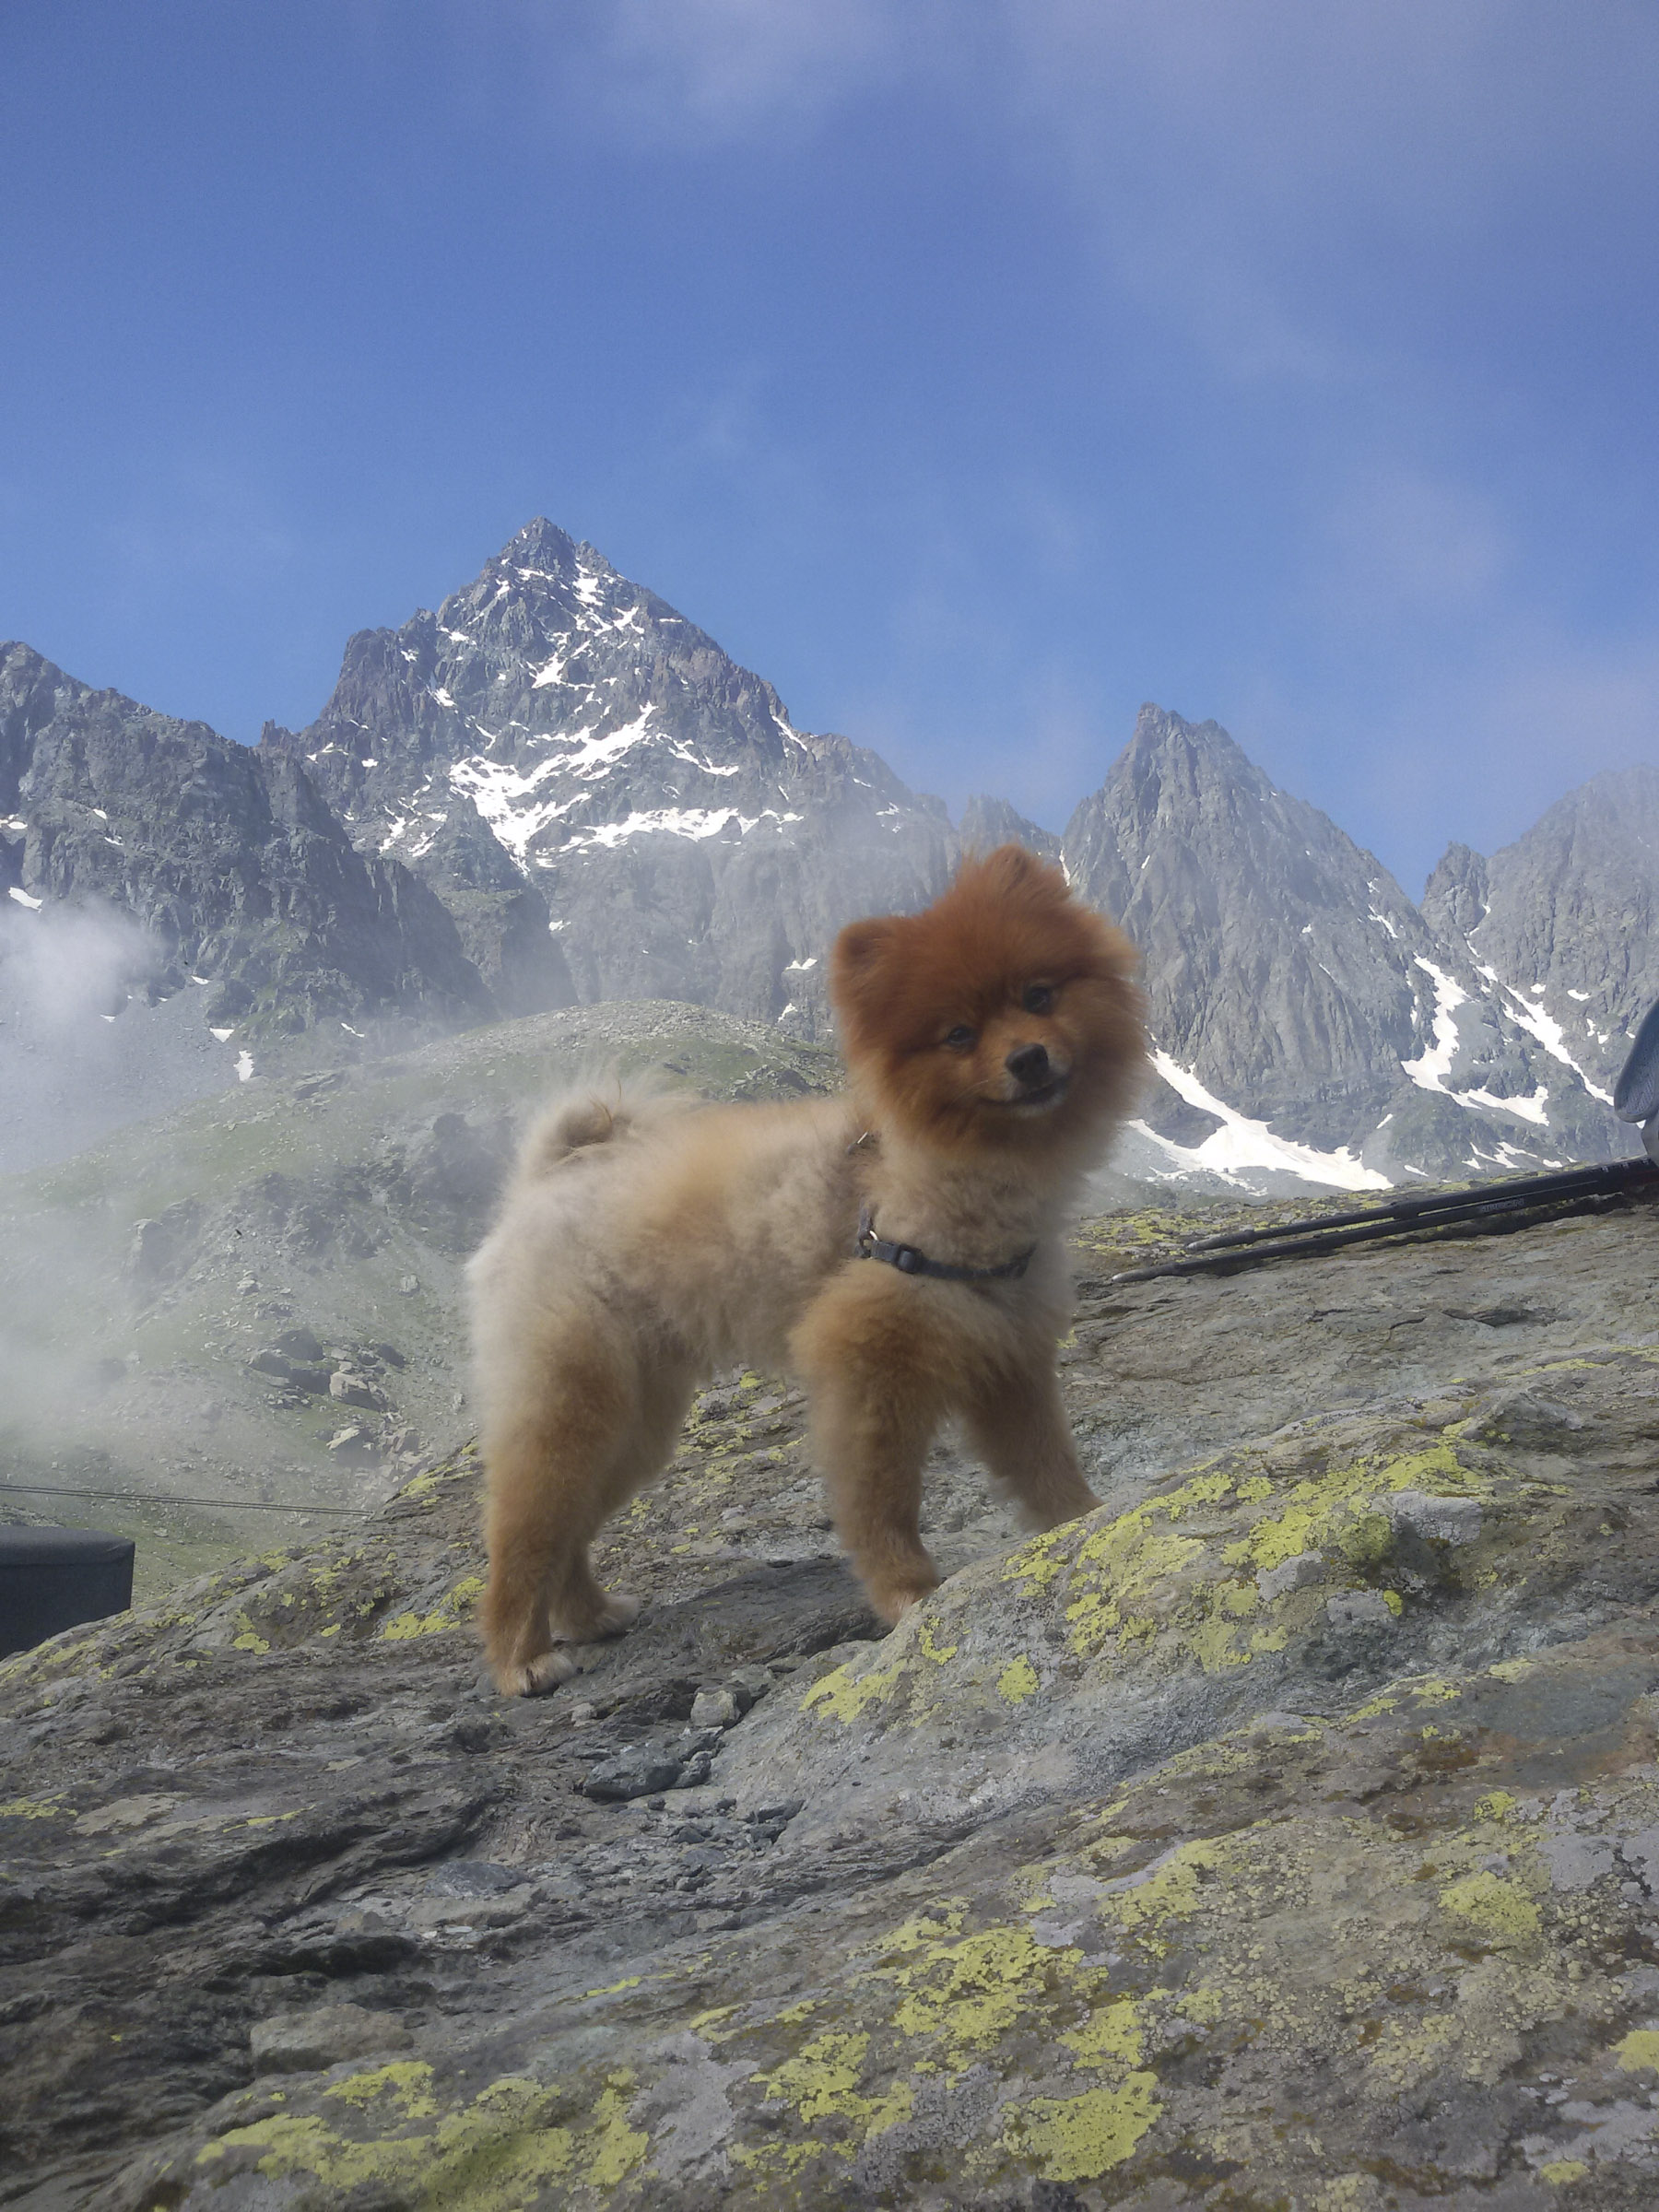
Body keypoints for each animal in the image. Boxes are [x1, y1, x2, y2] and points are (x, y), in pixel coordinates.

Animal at [468, 844, 1141, 1689]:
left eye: (1039, 995)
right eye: (958, 1035)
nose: (1027, 1058)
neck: (941, 1177)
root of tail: (538, 1185)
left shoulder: (1009, 1354)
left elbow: (1048, 1463)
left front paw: (1087, 1525)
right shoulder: (870, 1362)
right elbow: (883, 1501)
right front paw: (908, 1591)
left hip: (636, 1418)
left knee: (572, 1524)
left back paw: (588, 1615)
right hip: (573, 1397)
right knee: (525, 1527)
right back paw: (521, 1658)